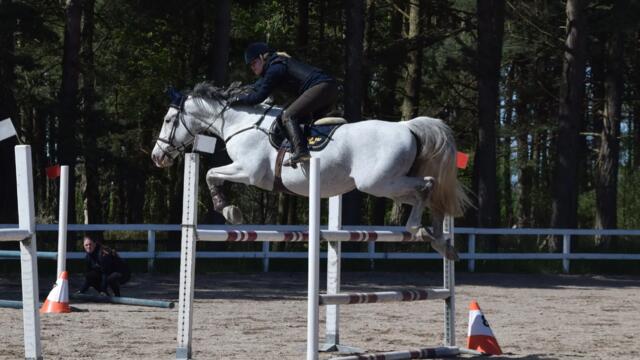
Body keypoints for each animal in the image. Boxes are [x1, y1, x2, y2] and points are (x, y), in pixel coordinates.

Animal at [152, 83, 468, 260]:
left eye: (167, 120)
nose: (157, 157)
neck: (240, 122)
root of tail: (406, 126)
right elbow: (211, 175)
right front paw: (229, 209)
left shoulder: (249, 172)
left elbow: (210, 174)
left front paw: (229, 211)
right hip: (389, 186)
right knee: (426, 193)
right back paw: (440, 241)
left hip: (378, 184)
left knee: (428, 185)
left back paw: (419, 230)